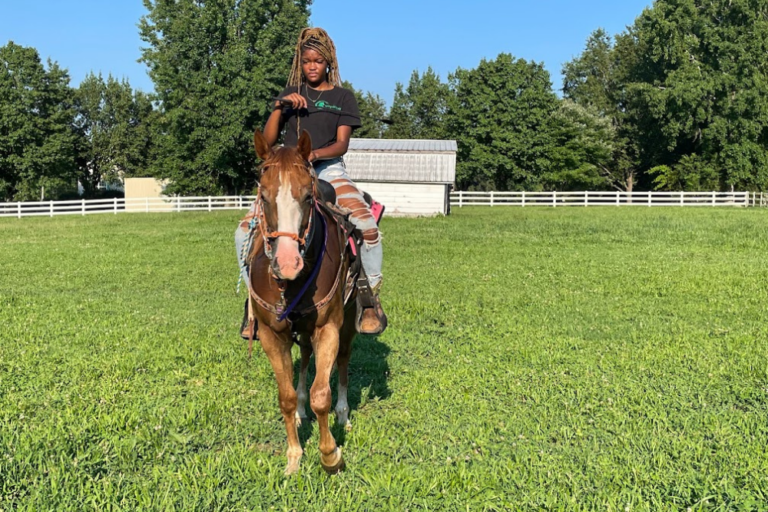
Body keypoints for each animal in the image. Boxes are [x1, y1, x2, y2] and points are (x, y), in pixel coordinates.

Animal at [246, 129, 358, 475]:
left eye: (308, 197)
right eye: (263, 196)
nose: (287, 263)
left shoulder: (328, 328)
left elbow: (322, 393)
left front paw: (330, 455)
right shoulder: (271, 334)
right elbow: (284, 397)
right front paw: (294, 456)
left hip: (349, 320)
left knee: (344, 361)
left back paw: (343, 414)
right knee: (306, 358)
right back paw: (301, 410)